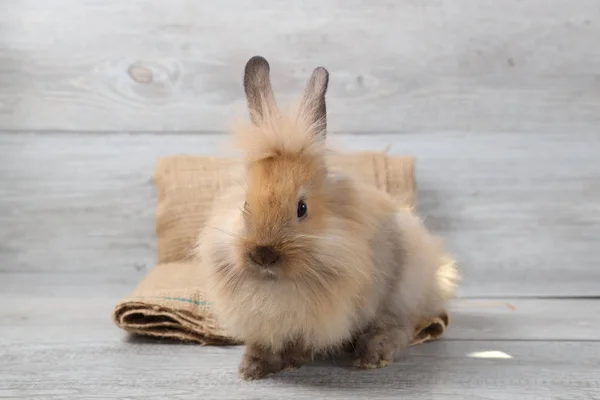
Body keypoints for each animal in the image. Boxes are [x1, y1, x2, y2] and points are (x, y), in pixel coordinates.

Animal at [195, 54, 458, 380]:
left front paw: (290, 360)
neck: (275, 284)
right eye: (245, 204)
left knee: (400, 326)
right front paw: (251, 368)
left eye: (302, 208)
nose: (263, 255)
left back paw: (373, 354)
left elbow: (303, 344)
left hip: (404, 288)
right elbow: (264, 343)